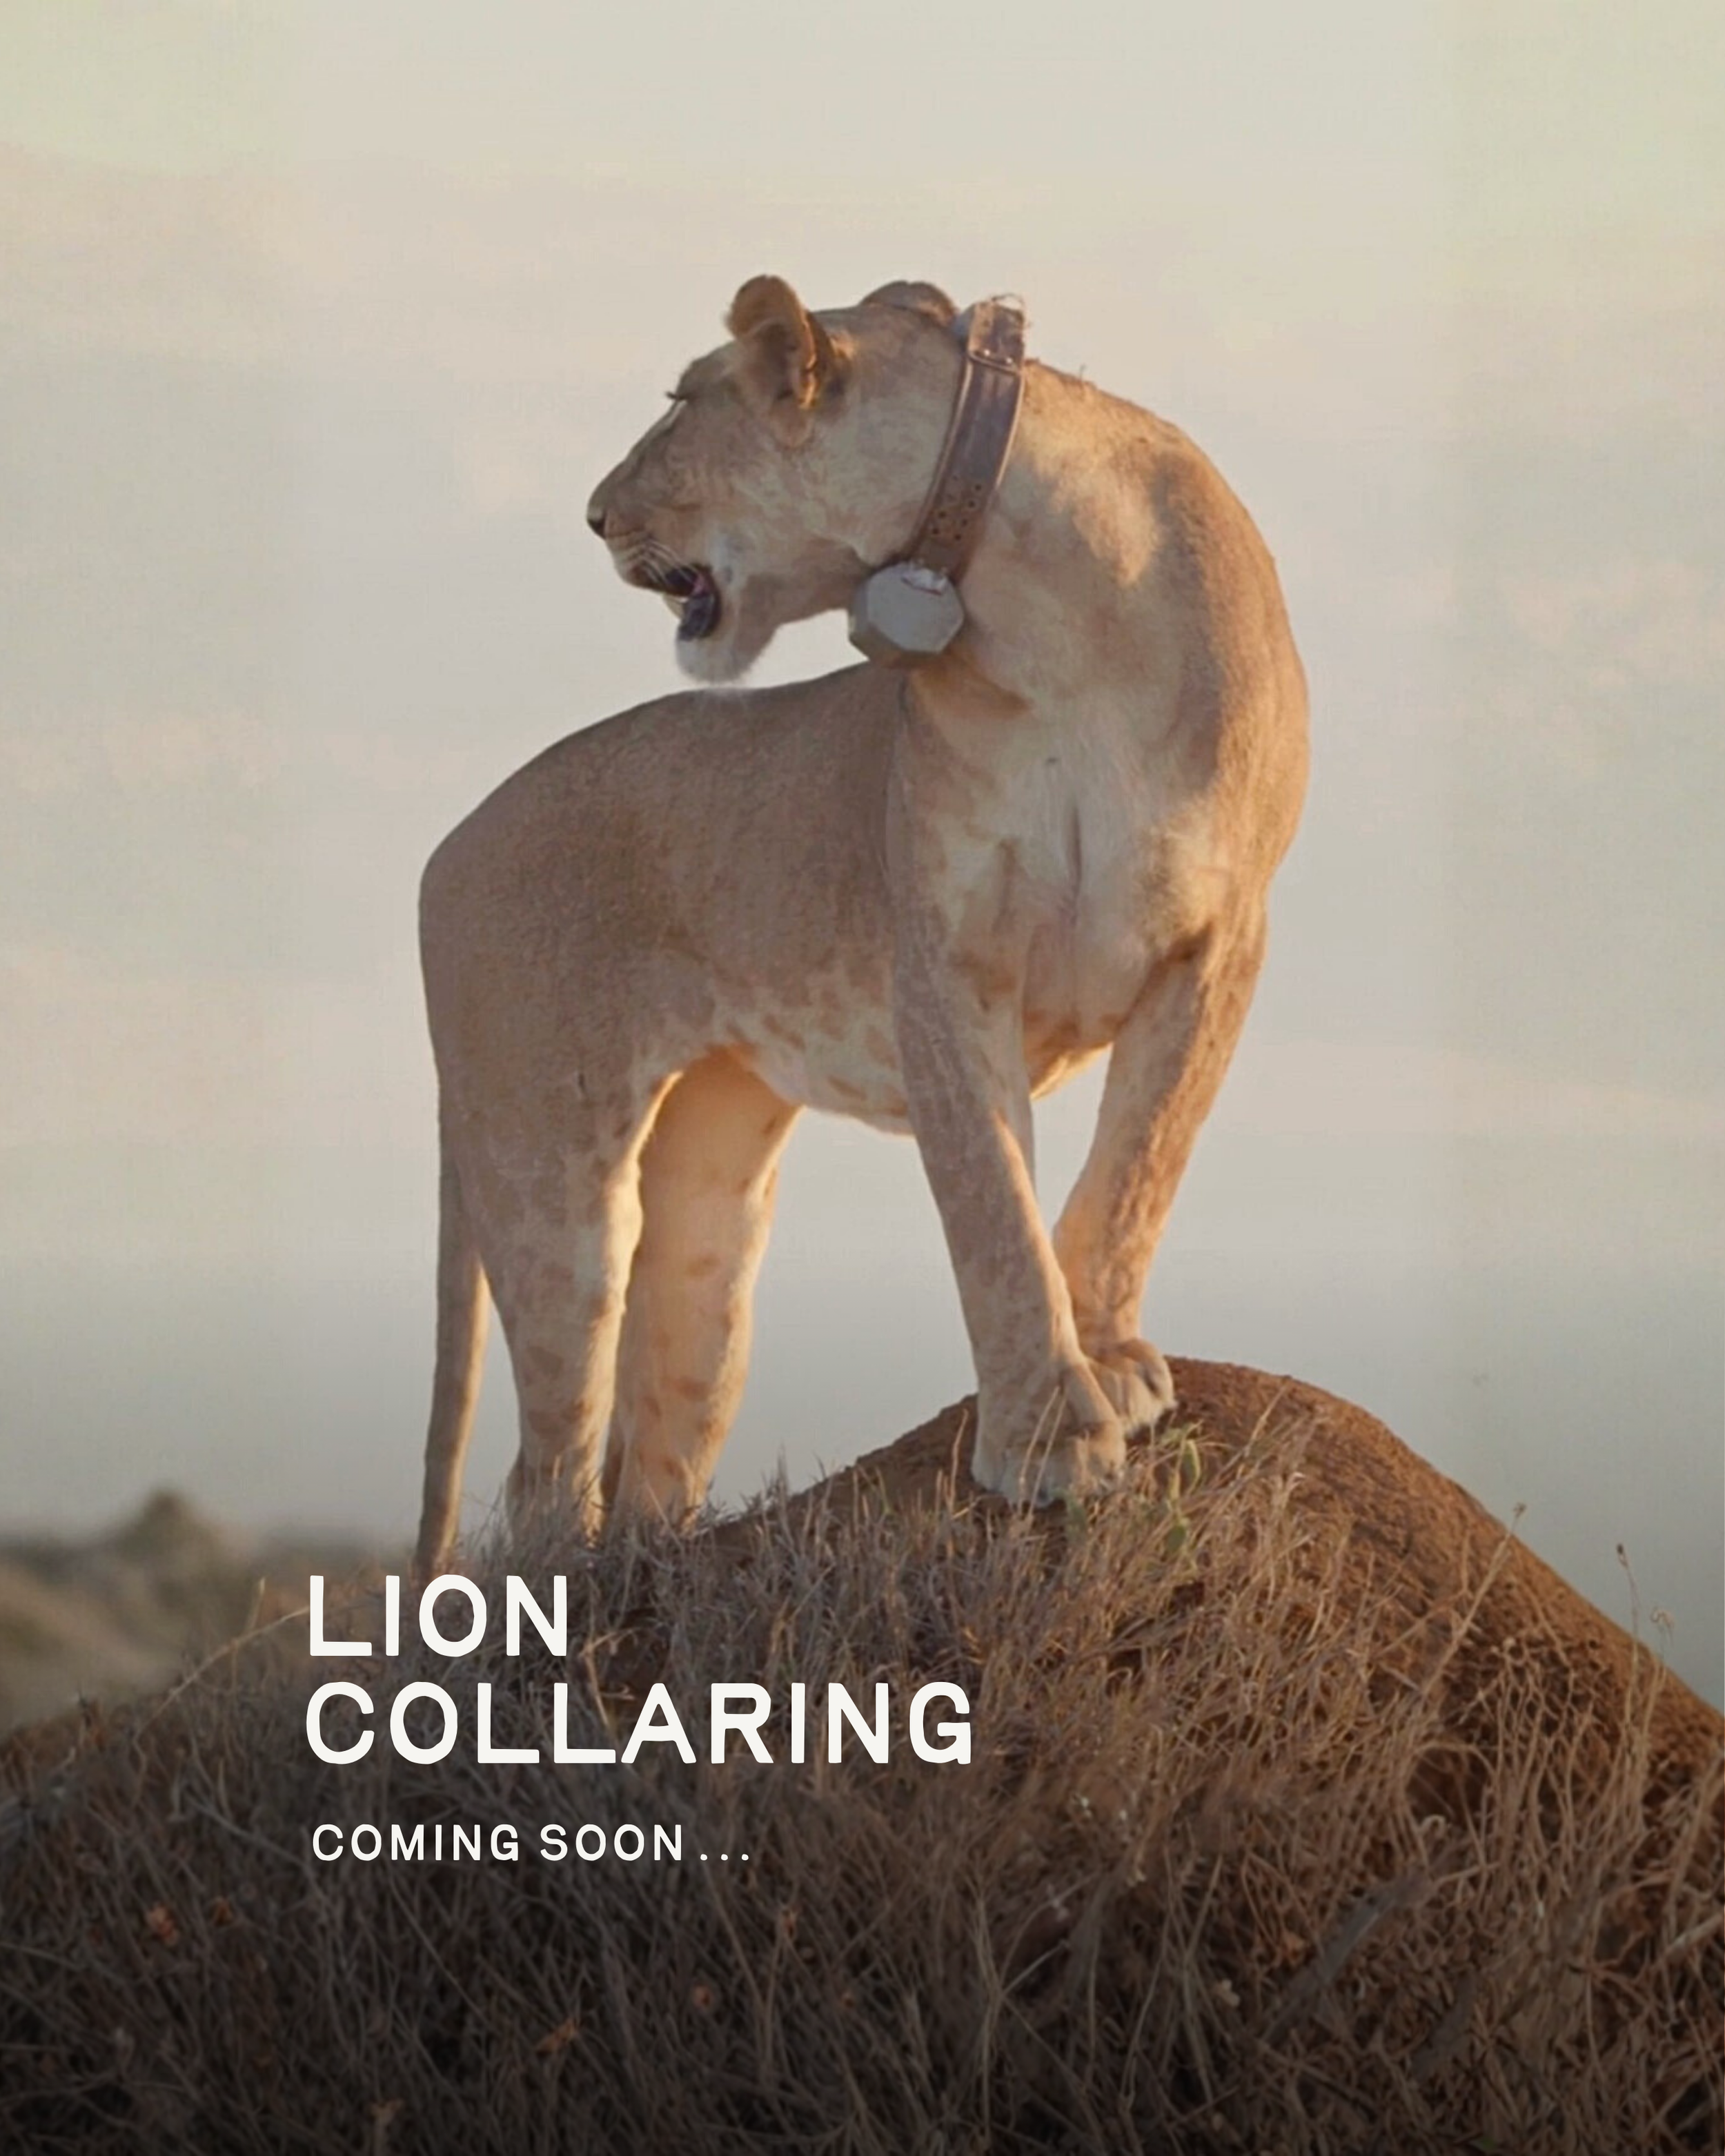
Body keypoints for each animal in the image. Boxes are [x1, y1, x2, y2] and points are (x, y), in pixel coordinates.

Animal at [413, 275, 1307, 1576]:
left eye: (682, 399)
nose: (592, 514)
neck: (1057, 607)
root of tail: (445, 845)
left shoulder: (1219, 940)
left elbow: (1138, 1167)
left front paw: (1109, 1359)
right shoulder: (942, 957)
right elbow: (995, 1209)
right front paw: (1048, 1437)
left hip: (711, 1219)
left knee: (656, 1446)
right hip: (547, 1172)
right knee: (547, 1475)